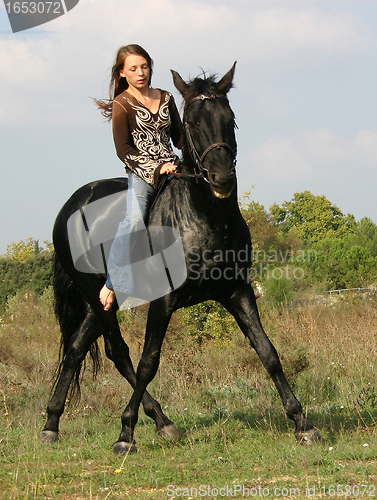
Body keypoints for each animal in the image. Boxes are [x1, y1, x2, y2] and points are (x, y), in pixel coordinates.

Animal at [41, 63, 324, 454]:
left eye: (230, 119)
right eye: (191, 122)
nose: (221, 177)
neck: (205, 219)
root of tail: (72, 203)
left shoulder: (237, 291)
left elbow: (268, 352)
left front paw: (302, 423)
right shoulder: (164, 300)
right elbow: (148, 362)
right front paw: (125, 433)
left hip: (103, 298)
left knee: (76, 348)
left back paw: (54, 423)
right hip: (99, 298)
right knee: (118, 351)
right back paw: (152, 422)